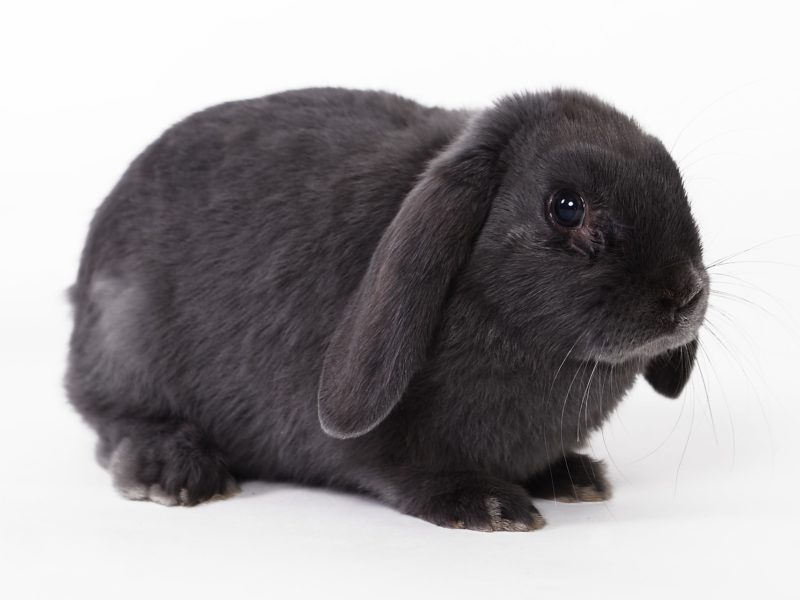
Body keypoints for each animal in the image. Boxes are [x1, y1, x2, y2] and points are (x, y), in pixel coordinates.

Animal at [66, 87, 708, 531]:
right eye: (567, 207)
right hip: (126, 351)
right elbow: (402, 468)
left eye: (675, 183)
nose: (685, 294)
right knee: (113, 423)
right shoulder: (386, 444)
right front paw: (489, 506)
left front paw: (571, 476)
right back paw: (177, 473)